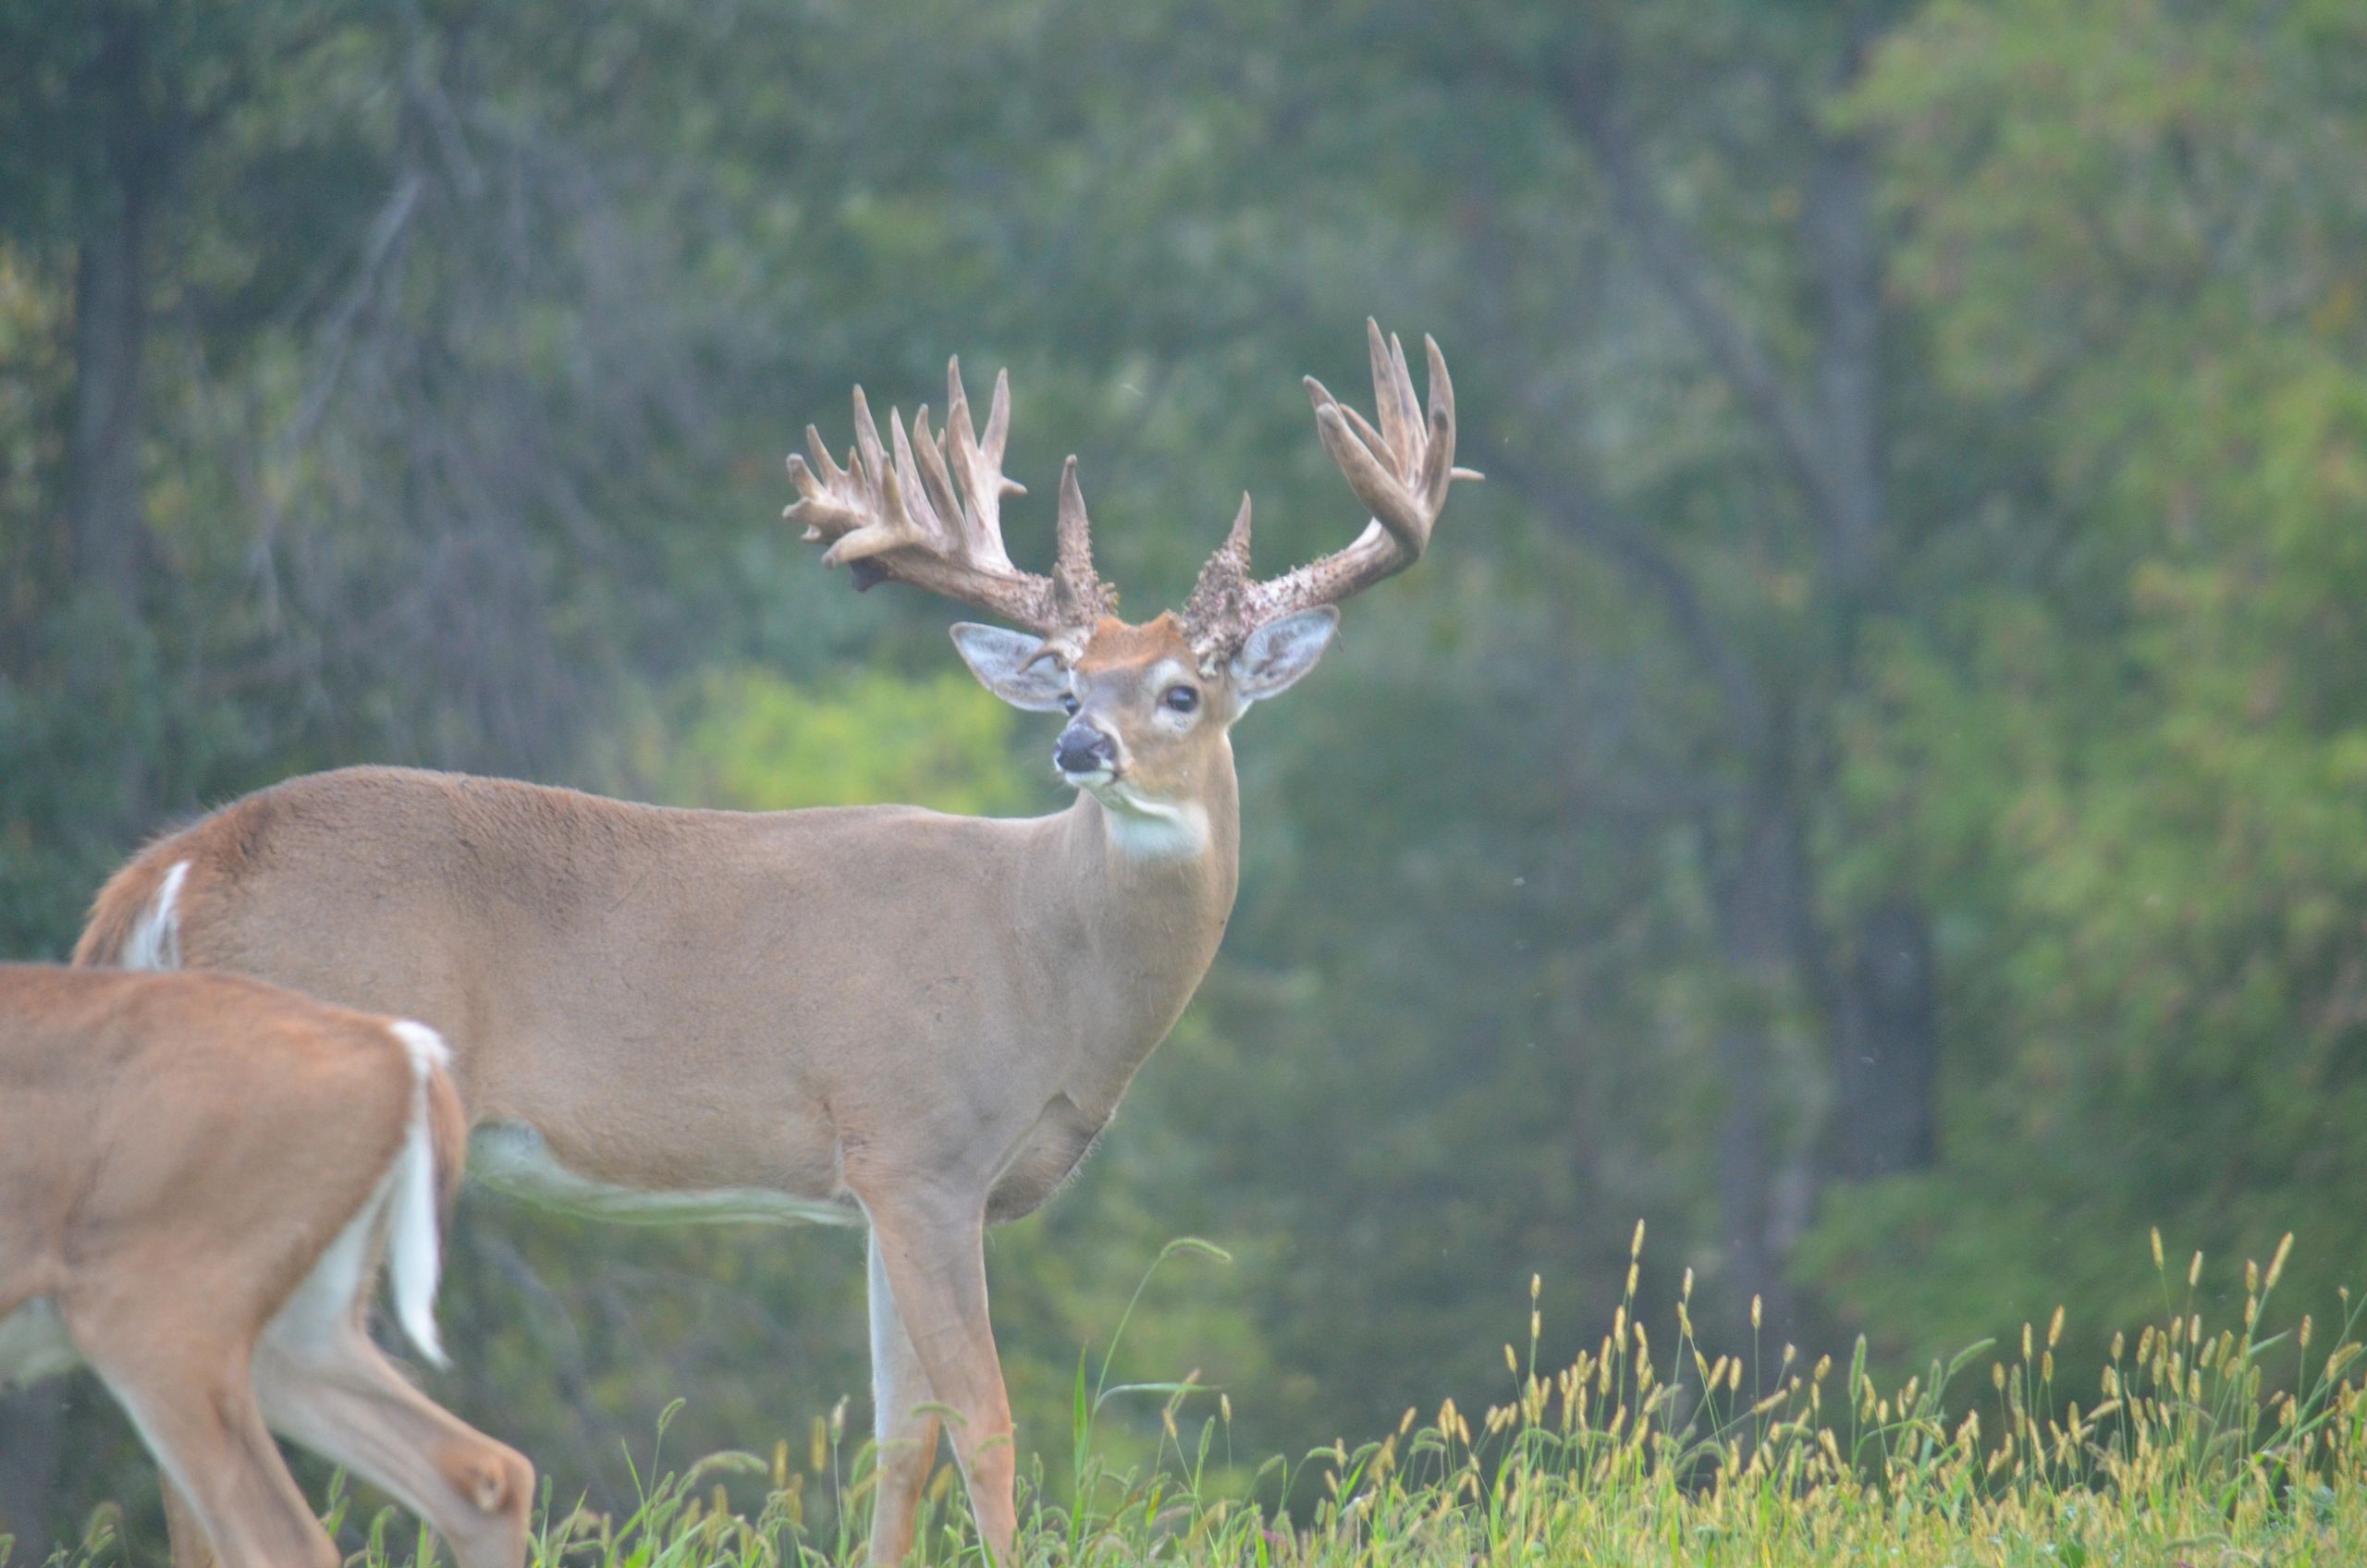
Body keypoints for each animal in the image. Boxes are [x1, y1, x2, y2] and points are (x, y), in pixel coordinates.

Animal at [70, 320, 1473, 1565]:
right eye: (1072, 686)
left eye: (1183, 690)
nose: (1081, 746)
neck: (1047, 961)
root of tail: (166, 872)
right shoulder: (918, 1145)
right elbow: (987, 1426)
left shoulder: (881, 1185)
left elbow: (902, 1441)